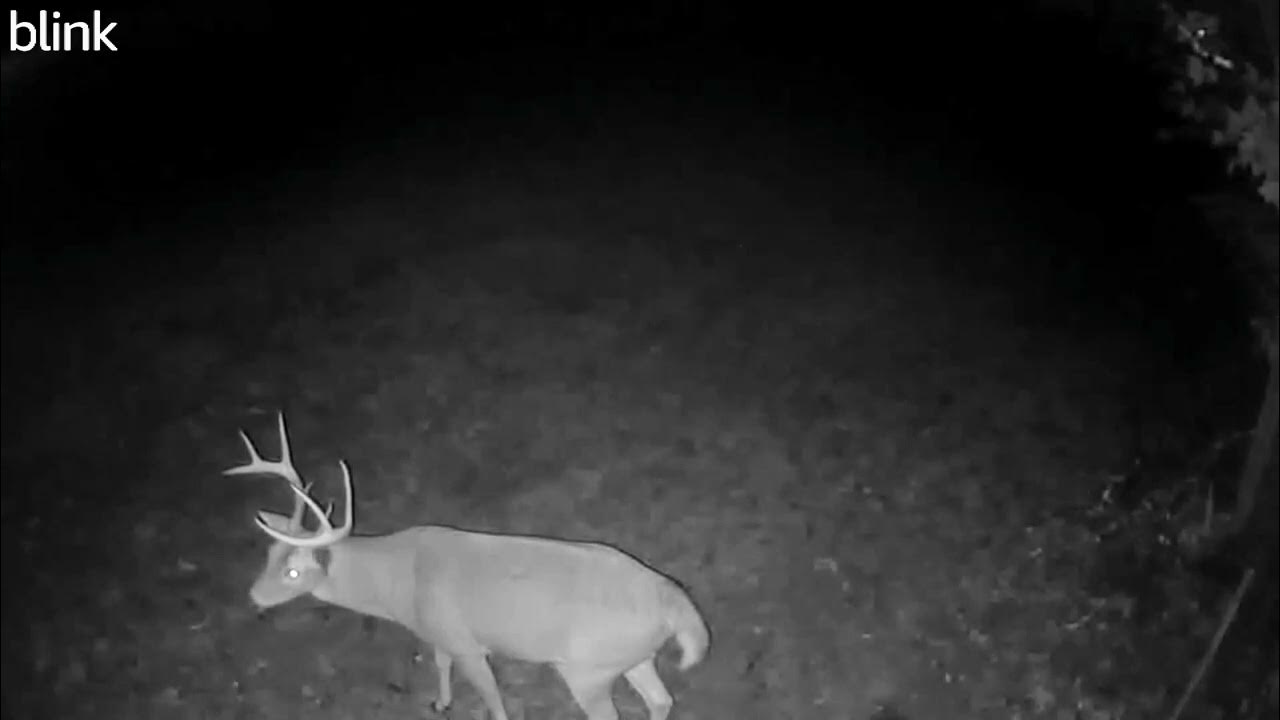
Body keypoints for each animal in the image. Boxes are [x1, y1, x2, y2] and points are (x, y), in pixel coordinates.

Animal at [224, 412, 710, 720]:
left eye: (292, 572)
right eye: (268, 556)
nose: (252, 596)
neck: (399, 586)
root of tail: (678, 606)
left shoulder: (469, 643)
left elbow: (493, 699)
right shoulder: (441, 633)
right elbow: (439, 663)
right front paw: (441, 704)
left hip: (586, 669)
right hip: (630, 657)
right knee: (662, 701)